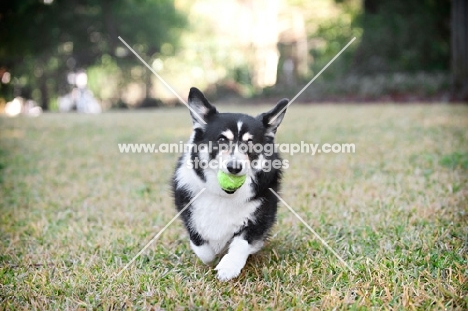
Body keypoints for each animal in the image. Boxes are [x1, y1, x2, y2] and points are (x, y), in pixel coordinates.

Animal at [173, 86, 288, 282]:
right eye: (221, 140)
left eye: (250, 143)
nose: (234, 167)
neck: (224, 195)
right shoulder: (188, 212)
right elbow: (202, 247)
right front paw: (214, 255)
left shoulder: (259, 218)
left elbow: (241, 243)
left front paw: (228, 267)